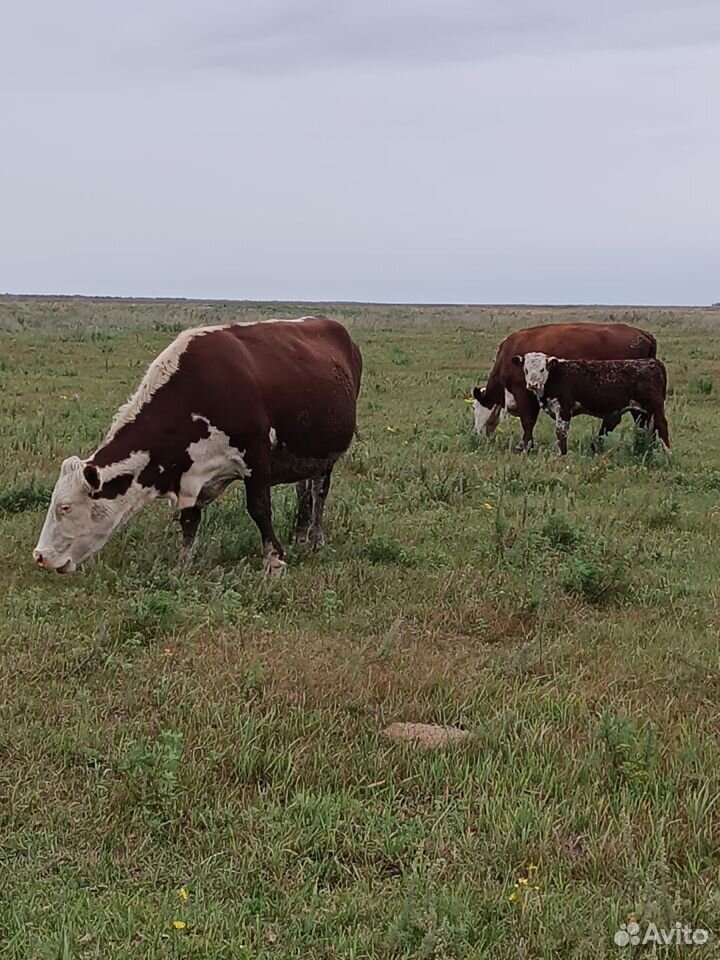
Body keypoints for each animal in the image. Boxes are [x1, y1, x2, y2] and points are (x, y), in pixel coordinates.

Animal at [33, 316, 362, 572]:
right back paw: (299, 532)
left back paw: (315, 537)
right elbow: (189, 519)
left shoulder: (256, 456)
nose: (40, 557)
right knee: (303, 488)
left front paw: (273, 559)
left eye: (65, 507)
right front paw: (183, 562)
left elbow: (259, 508)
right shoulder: (189, 472)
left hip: (327, 453)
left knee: (319, 490)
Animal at [470, 322, 660, 450]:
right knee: (642, 421)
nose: (475, 434)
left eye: (474, 407)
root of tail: (643, 334)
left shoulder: (523, 392)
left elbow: (528, 421)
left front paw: (525, 446)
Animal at [512, 350, 668, 456]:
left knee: (662, 426)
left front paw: (562, 455)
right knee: (649, 429)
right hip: (640, 410)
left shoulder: (564, 409)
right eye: (526, 369)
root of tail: (652, 362)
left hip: (655, 407)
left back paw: (667, 453)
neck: (556, 376)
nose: (532, 384)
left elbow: (561, 433)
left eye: (542, 369)